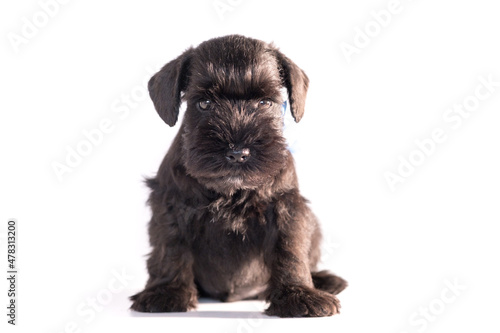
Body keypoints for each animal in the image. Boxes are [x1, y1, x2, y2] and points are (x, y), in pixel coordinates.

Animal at [131, 34, 346, 316]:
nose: (237, 153)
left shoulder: (286, 206)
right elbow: (170, 246)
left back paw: (325, 280)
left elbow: (290, 249)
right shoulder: (171, 205)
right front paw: (167, 292)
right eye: (205, 103)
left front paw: (299, 294)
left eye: (265, 102)